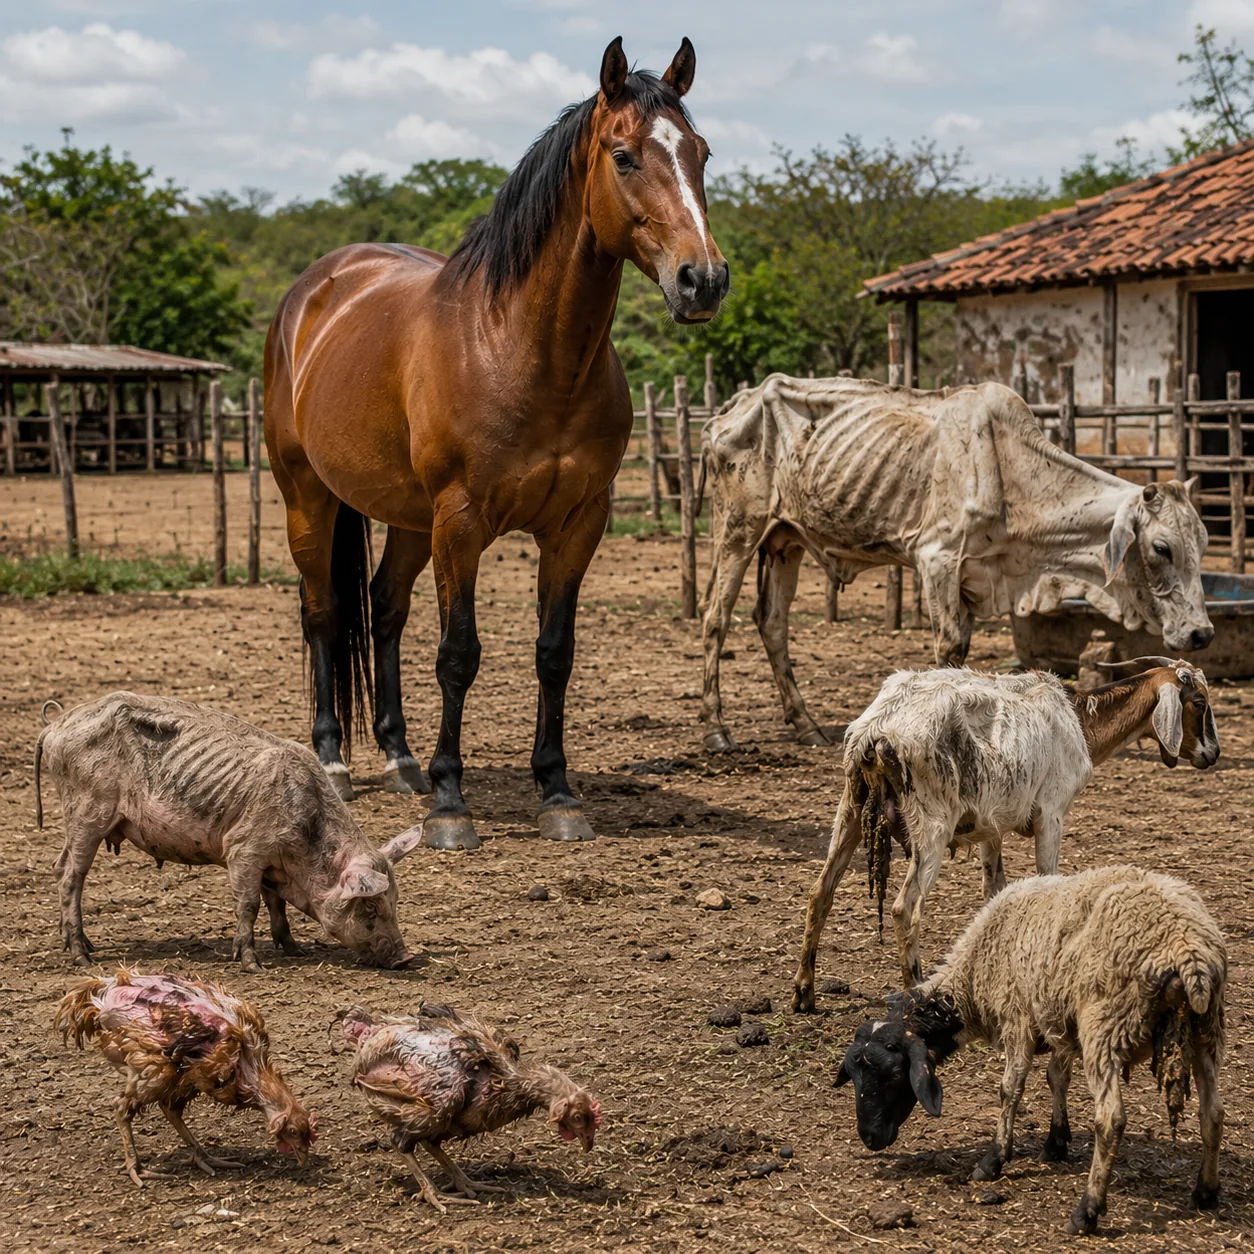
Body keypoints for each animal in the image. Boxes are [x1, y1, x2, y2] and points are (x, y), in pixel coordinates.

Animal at [264, 37, 728, 851]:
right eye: (624, 156)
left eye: (700, 153)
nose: (702, 280)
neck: (526, 351)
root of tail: (314, 290)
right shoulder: (462, 521)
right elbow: (459, 655)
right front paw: (452, 805)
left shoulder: (577, 524)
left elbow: (554, 654)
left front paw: (558, 792)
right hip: (309, 499)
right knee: (323, 613)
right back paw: (336, 763)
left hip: (408, 519)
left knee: (384, 609)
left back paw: (400, 759)